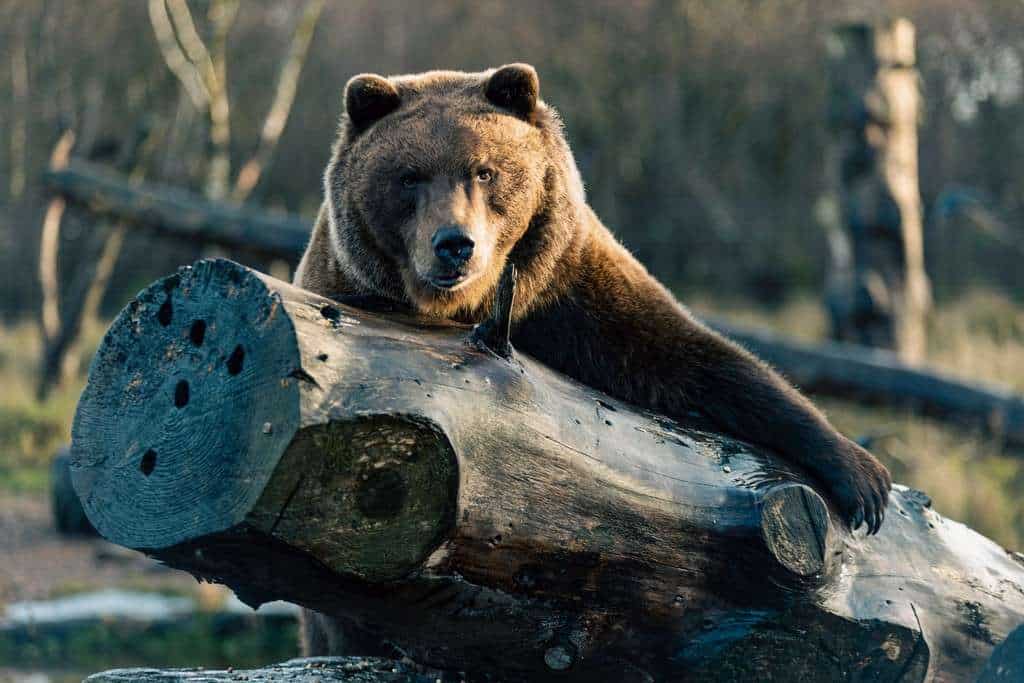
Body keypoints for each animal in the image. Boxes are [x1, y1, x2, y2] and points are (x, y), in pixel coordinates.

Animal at [294, 64, 892, 656]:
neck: (473, 306)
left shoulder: (571, 292)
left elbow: (696, 363)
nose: (454, 244)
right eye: (408, 177)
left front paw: (863, 479)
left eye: (485, 171)